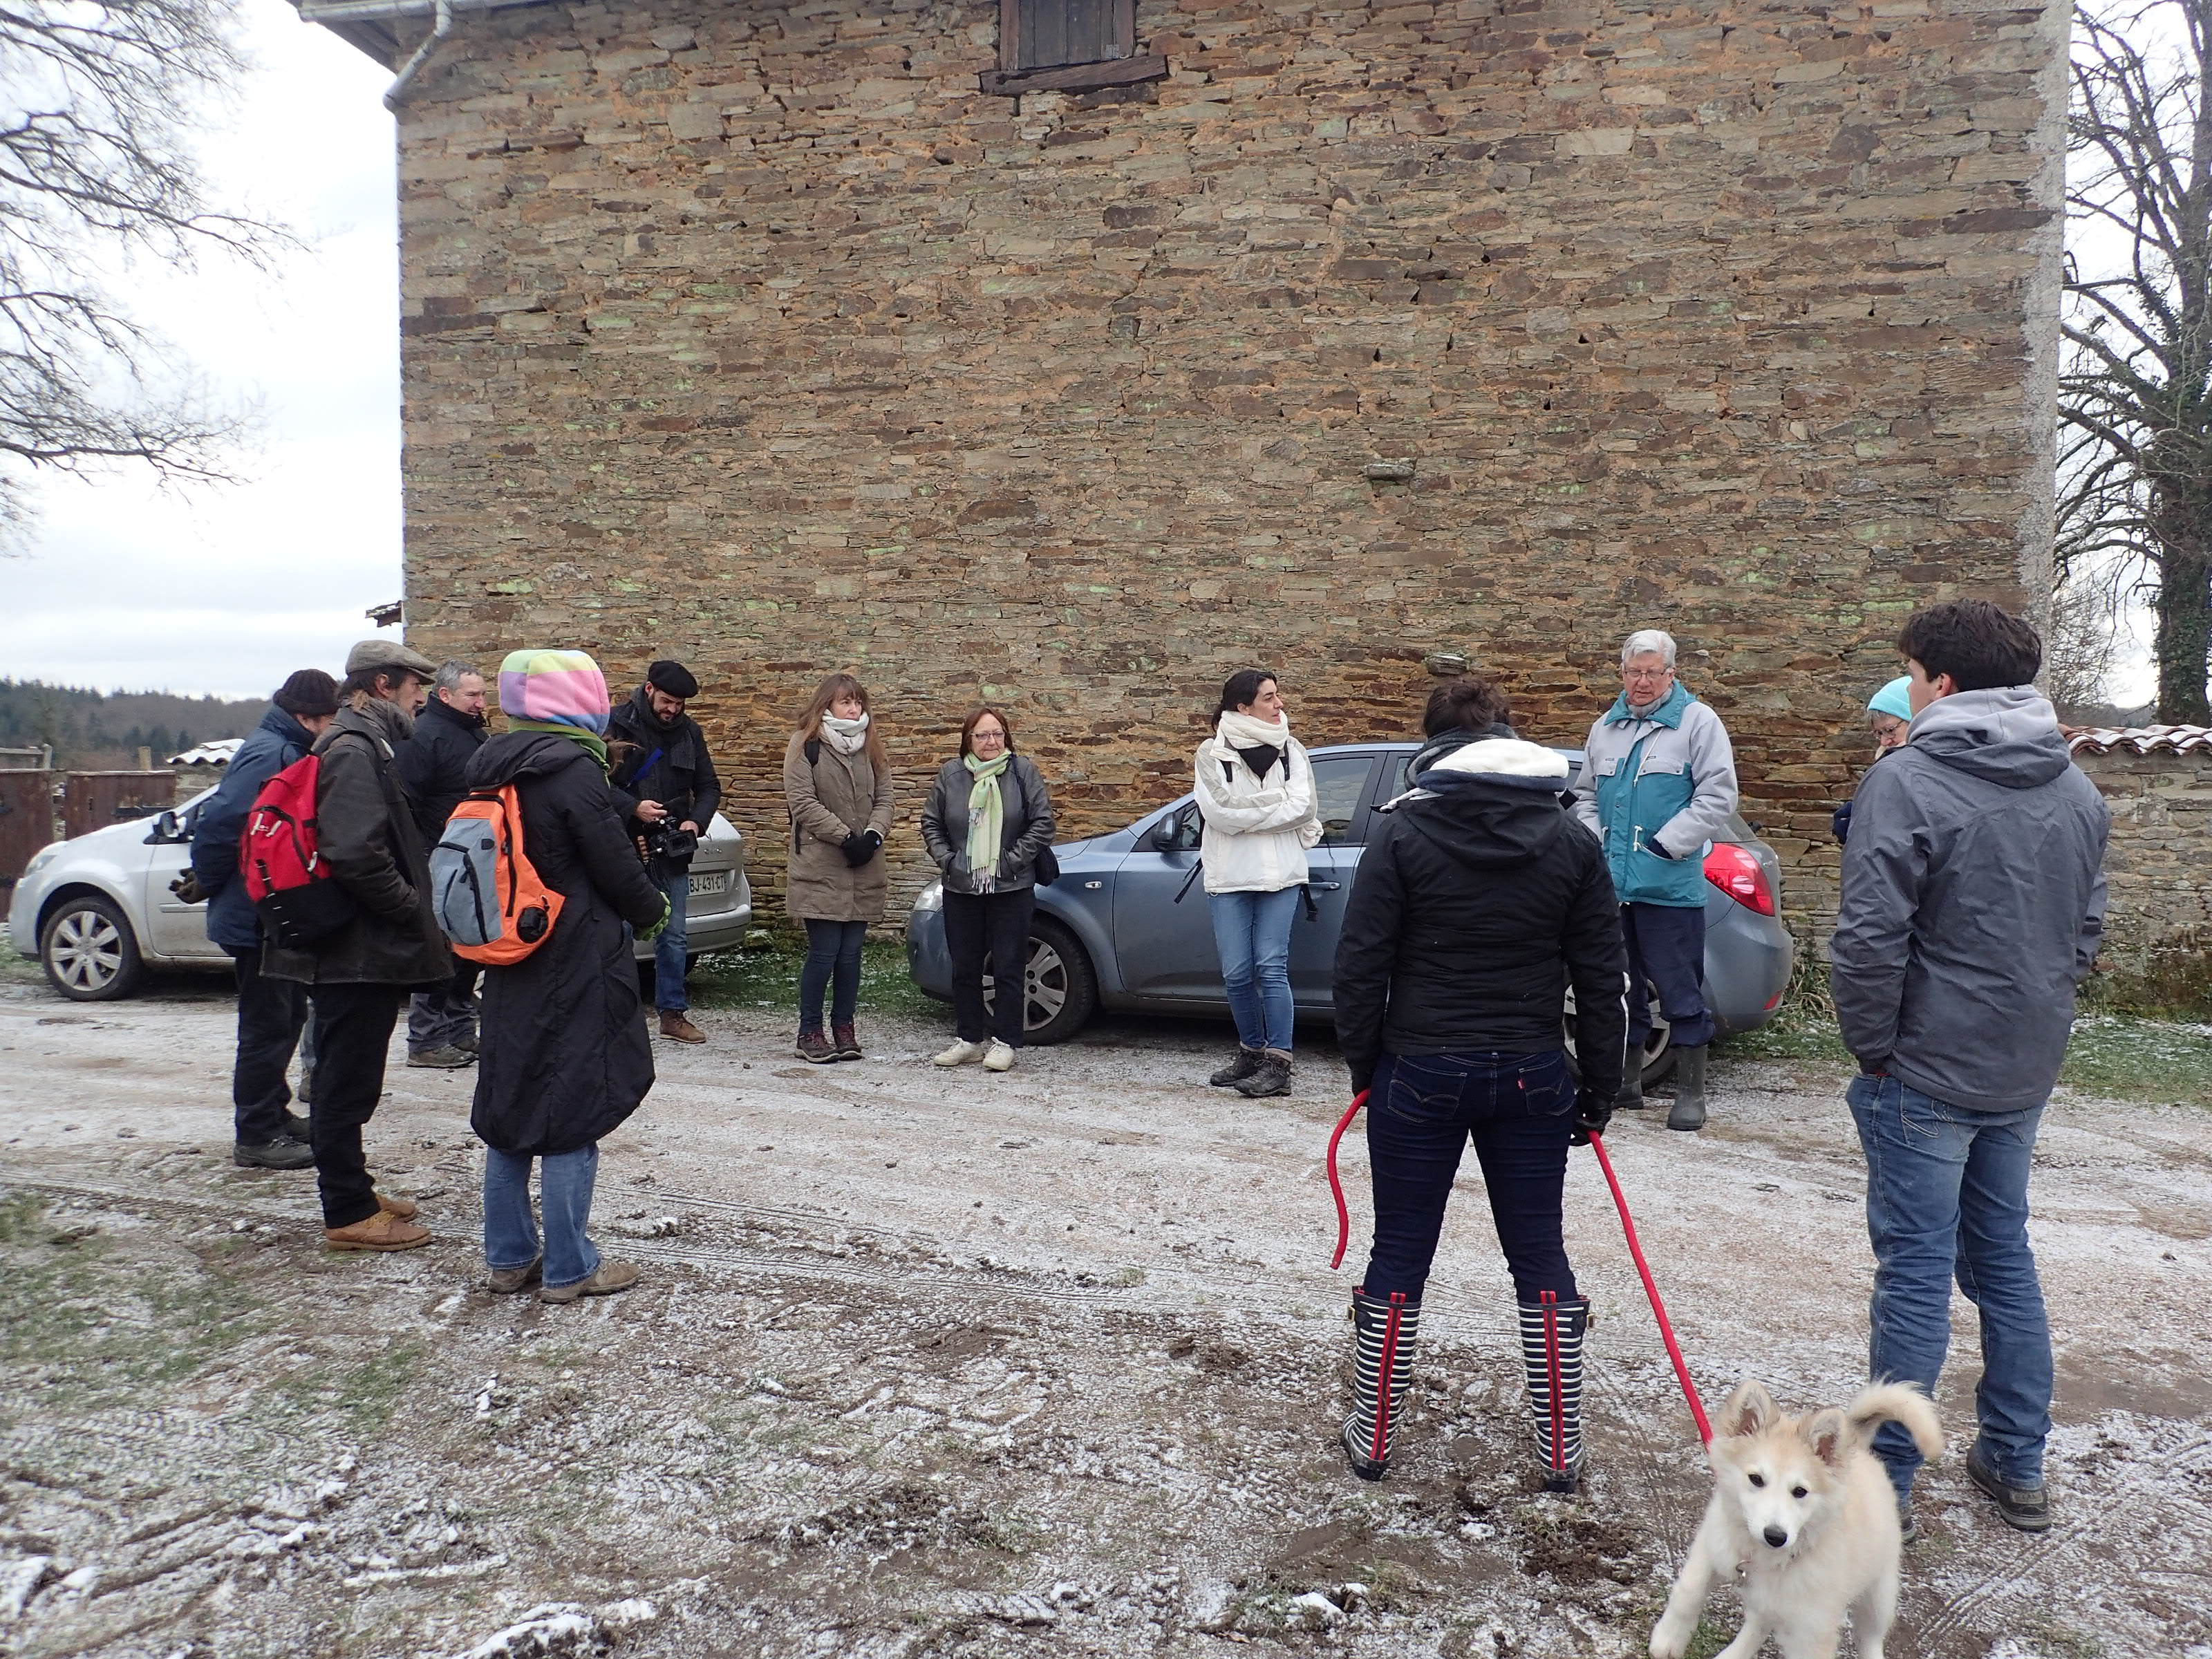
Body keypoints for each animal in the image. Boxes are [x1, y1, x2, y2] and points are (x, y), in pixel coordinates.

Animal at [1654, 1380, 1947, 1659]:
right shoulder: (1714, 1544)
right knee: (1759, 1622)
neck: (1764, 1557)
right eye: (1756, 1479)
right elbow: (1689, 1591)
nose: (1775, 1536)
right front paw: (1668, 1638)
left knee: (1871, 1638)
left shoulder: (1812, 1631)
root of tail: (1859, 1449)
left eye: (1800, 1492)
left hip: (1878, 1593)